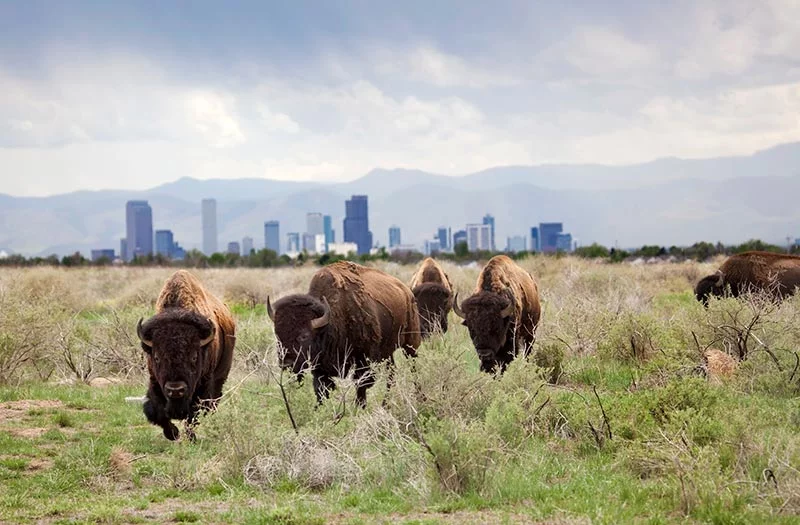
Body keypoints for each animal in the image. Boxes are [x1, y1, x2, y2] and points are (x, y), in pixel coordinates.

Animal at [134, 270, 234, 438]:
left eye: (194, 357)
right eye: (156, 357)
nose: (175, 390)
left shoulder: (202, 386)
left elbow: (192, 416)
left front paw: (190, 437)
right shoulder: (155, 382)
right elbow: (157, 412)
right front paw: (173, 433)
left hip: (221, 376)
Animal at [268, 260, 422, 406]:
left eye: (304, 335)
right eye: (277, 334)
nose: (286, 363)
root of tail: (407, 291)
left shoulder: (363, 360)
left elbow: (361, 385)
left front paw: (359, 408)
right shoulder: (320, 368)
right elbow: (321, 390)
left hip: (410, 344)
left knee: (413, 368)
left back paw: (420, 397)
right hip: (388, 352)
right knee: (391, 373)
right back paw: (386, 404)